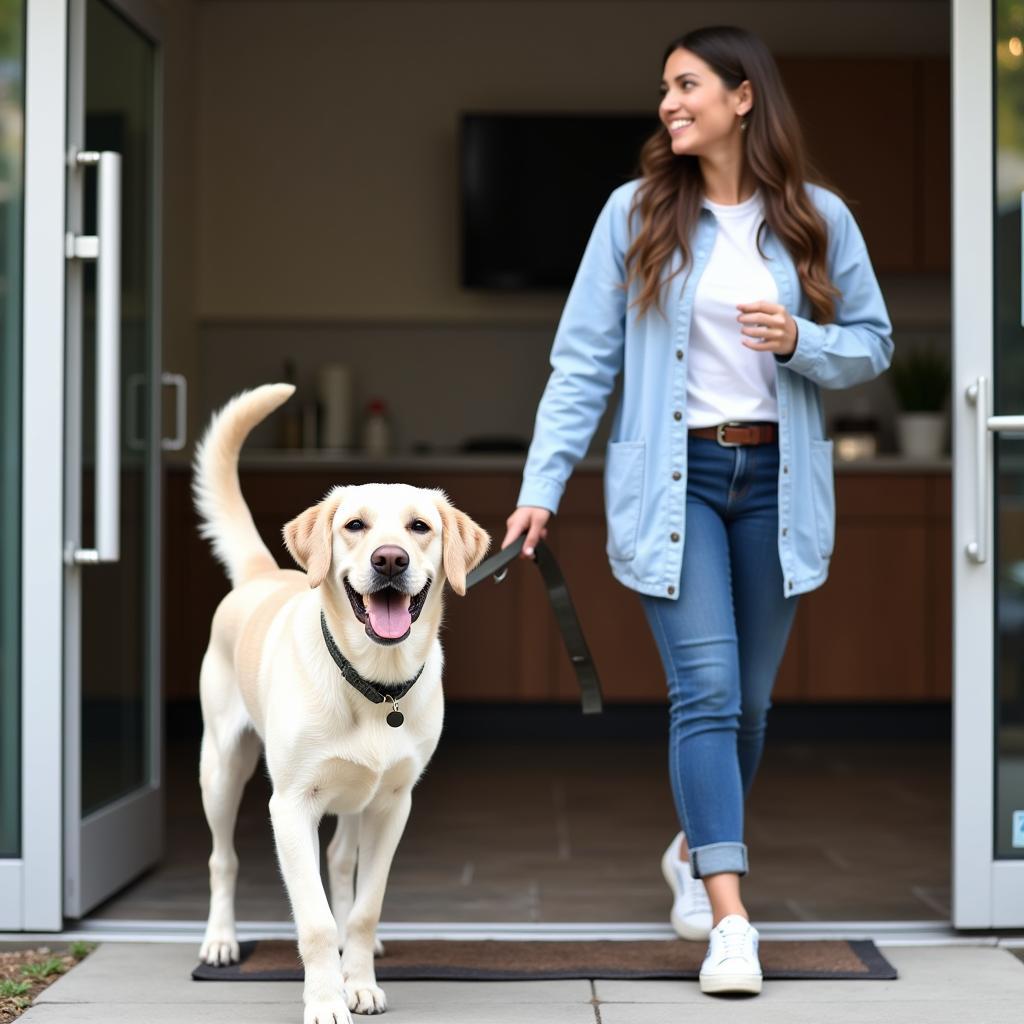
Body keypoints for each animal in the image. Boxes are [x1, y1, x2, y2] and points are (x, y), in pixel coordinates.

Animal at [194, 382, 491, 1015]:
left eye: (419, 527)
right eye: (355, 525)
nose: (390, 559)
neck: (374, 683)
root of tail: (262, 573)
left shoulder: (393, 804)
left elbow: (362, 908)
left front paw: (359, 983)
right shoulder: (290, 807)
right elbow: (316, 921)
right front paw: (326, 1001)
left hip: (359, 794)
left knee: (341, 861)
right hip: (222, 768)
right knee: (222, 858)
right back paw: (221, 940)